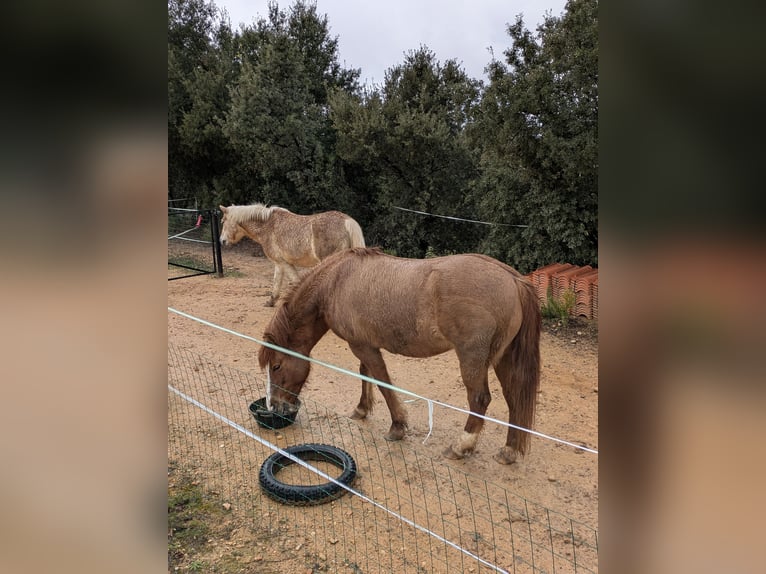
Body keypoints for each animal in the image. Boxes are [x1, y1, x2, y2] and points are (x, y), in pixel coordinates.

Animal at [219, 203, 365, 306]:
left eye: (223, 221)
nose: (222, 241)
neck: (267, 226)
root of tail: (347, 221)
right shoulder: (279, 263)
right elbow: (277, 283)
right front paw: (271, 302)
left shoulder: (284, 263)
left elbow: (296, 282)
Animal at [258, 247, 541, 465]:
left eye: (276, 366)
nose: (275, 407)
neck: (337, 281)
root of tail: (512, 279)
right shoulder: (364, 344)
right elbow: (366, 375)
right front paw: (362, 409)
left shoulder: (362, 346)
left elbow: (383, 383)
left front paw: (397, 427)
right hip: (503, 359)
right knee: (513, 398)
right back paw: (509, 450)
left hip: (472, 359)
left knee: (480, 399)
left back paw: (461, 446)